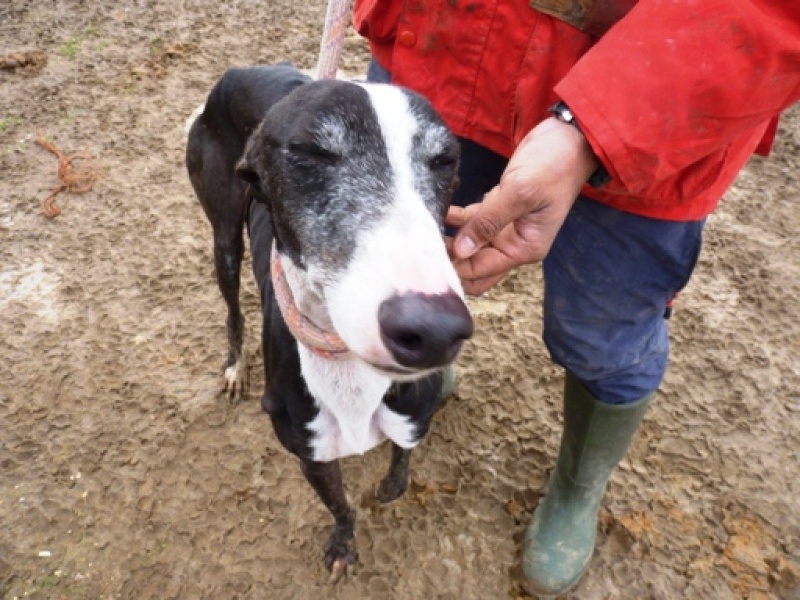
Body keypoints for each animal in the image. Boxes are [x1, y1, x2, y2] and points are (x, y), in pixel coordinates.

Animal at [186, 65, 476, 580]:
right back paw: (234, 366)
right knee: (231, 307)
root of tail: (239, 72)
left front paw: (386, 488)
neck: (347, 367)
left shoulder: (414, 416)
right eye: (311, 152)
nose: (434, 329)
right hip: (224, 237)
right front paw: (343, 542)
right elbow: (341, 505)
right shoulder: (309, 449)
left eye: (445, 160)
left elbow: (399, 470)